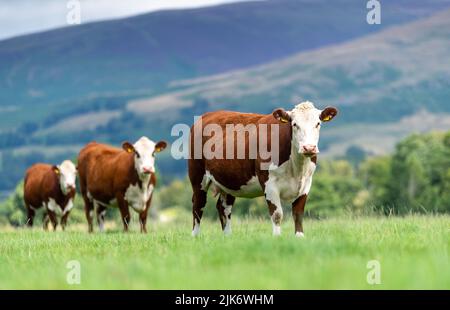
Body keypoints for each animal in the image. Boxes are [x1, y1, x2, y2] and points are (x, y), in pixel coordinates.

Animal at [187, 100, 338, 236]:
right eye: (295, 124)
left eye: (318, 124)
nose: (309, 148)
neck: (296, 168)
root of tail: (208, 115)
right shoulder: (269, 184)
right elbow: (277, 215)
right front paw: (277, 238)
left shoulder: (306, 184)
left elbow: (298, 214)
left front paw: (299, 238)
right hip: (197, 175)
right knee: (198, 205)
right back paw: (195, 236)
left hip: (229, 180)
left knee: (223, 207)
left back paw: (228, 237)